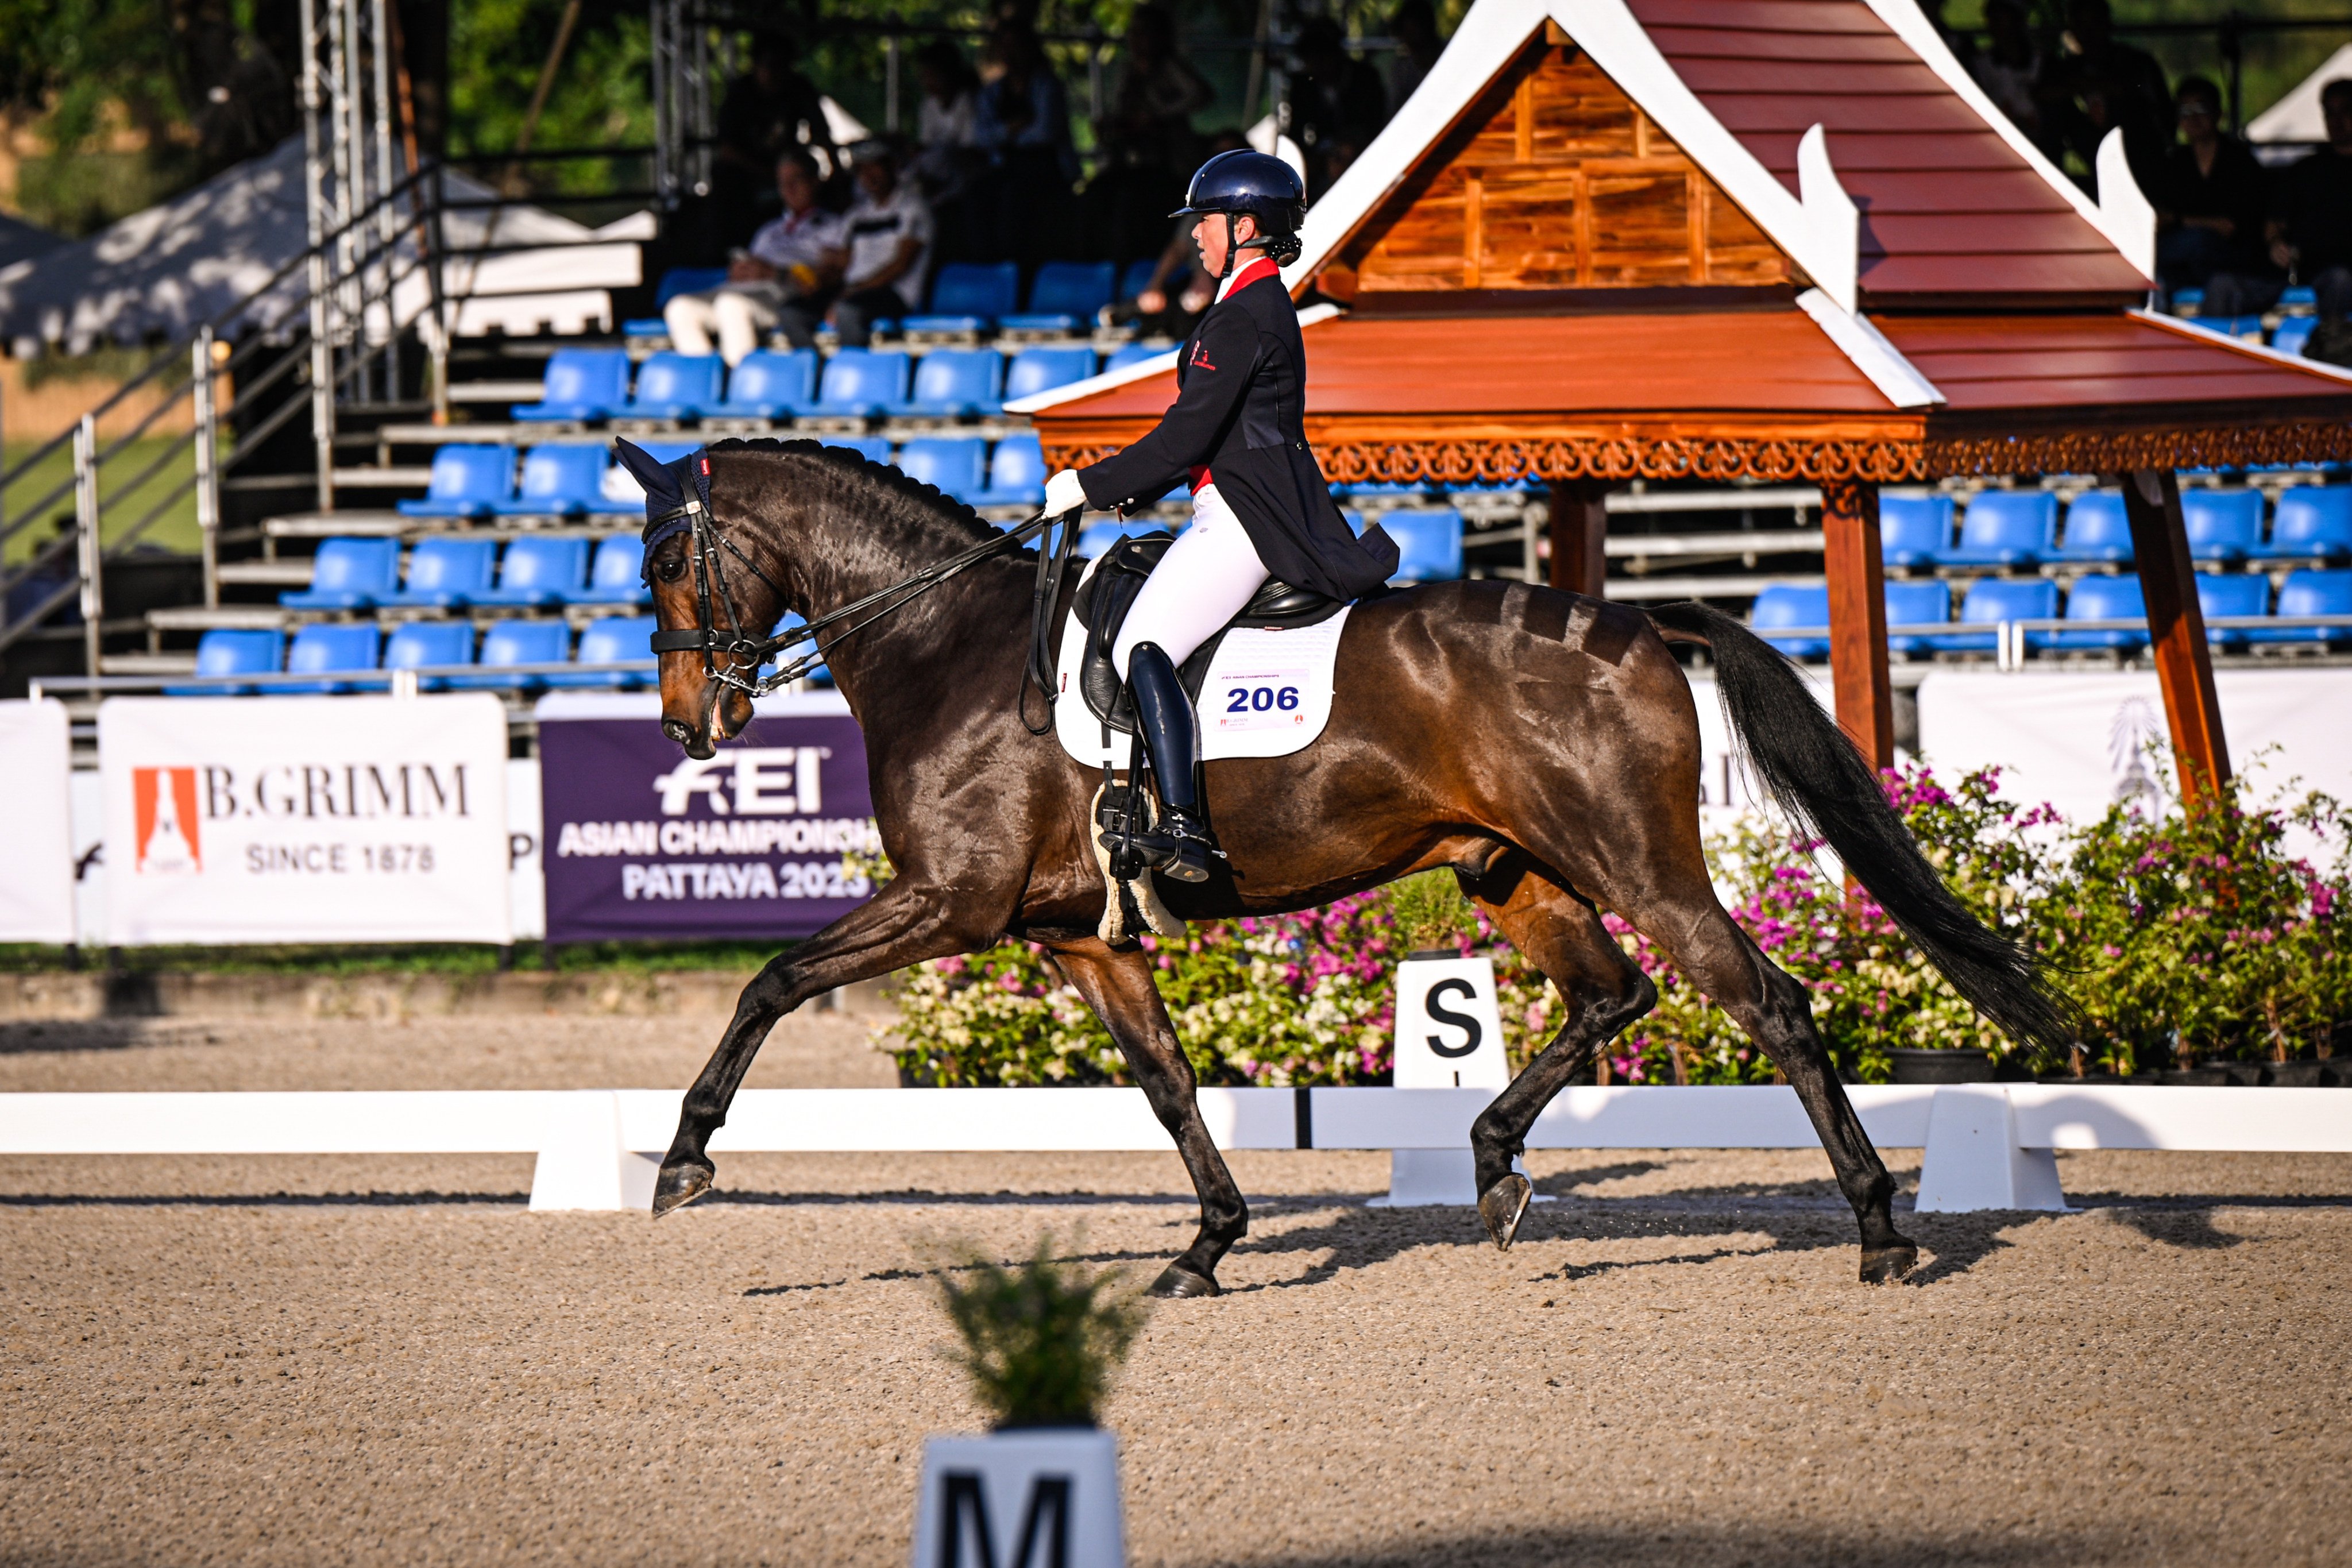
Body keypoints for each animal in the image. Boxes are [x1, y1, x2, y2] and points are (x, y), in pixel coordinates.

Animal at [639, 438, 2071, 1296]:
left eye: (661, 562)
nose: (689, 728)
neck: (946, 638)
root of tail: (1629, 621)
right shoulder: (1078, 934)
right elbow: (1167, 1086)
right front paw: (1207, 1248)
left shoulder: (950, 900)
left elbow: (770, 983)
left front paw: (683, 1161)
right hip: (1516, 869)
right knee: (1612, 996)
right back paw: (1491, 1169)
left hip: (1637, 861)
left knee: (1764, 1002)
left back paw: (1880, 1231)